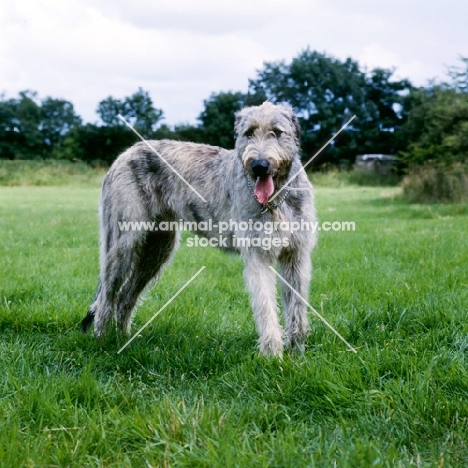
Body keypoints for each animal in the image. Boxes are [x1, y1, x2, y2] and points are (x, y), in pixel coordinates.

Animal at [83, 102, 318, 356]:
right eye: (248, 133)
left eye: (277, 132)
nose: (259, 166)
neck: (278, 198)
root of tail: (124, 154)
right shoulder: (258, 255)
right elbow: (265, 307)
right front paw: (273, 356)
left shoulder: (296, 255)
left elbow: (297, 309)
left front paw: (297, 354)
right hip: (122, 243)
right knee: (106, 299)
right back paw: (102, 343)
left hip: (158, 247)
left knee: (125, 296)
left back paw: (124, 339)